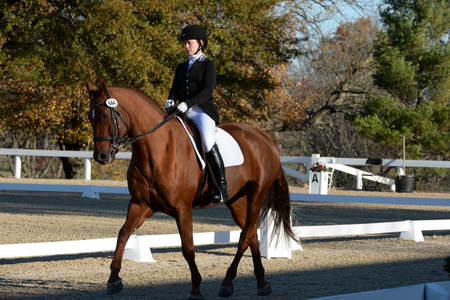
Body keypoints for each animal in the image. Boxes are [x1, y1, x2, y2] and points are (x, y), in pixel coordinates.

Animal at [86, 81, 298, 298]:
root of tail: (265, 139)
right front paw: (113, 280)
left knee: (245, 236)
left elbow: (188, 248)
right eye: (90, 116)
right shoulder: (141, 204)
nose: (101, 156)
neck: (157, 150)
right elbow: (123, 234)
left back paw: (227, 282)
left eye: (104, 115)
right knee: (252, 234)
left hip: (257, 194)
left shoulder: (182, 208)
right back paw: (261, 283)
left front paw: (196, 288)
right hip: (237, 200)